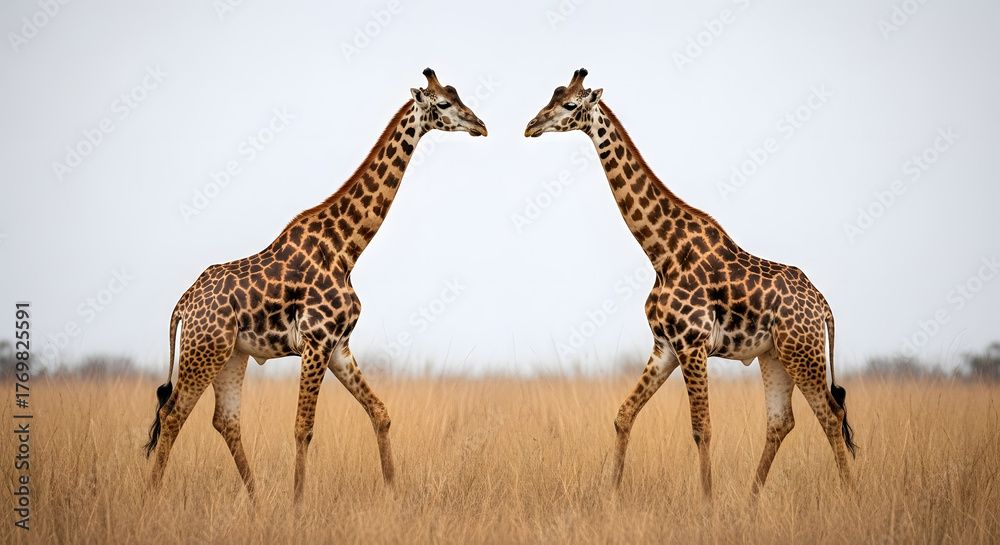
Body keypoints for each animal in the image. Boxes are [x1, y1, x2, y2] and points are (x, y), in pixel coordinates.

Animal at [143, 68, 487, 502]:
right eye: (443, 103)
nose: (481, 125)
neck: (345, 249)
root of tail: (183, 304)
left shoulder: (339, 345)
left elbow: (380, 413)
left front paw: (393, 493)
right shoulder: (316, 341)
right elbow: (302, 429)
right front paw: (297, 504)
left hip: (231, 355)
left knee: (225, 420)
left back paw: (257, 501)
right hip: (203, 352)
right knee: (172, 415)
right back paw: (152, 498)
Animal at [525, 69, 856, 500]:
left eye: (568, 104)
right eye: (552, 95)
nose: (531, 125)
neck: (662, 253)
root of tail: (823, 307)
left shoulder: (693, 344)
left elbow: (702, 430)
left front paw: (708, 503)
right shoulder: (665, 346)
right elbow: (623, 415)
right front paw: (611, 494)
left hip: (804, 353)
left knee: (830, 416)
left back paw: (849, 496)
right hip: (775, 355)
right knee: (781, 421)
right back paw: (750, 501)